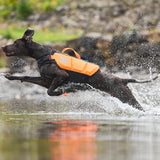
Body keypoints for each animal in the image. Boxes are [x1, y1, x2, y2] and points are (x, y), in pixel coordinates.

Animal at [1, 28, 158, 111]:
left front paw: (63, 91)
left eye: (14, 43)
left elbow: (50, 91)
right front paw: (9, 76)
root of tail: (122, 79)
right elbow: (26, 77)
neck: (43, 55)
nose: (2, 47)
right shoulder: (45, 80)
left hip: (126, 97)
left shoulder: (61, 75)